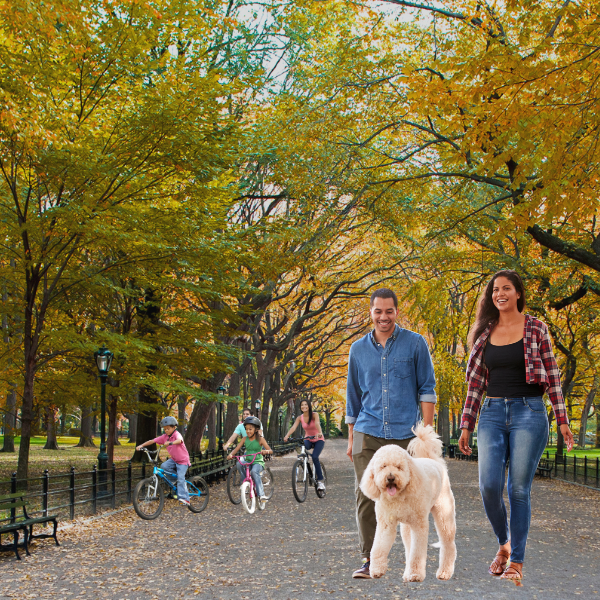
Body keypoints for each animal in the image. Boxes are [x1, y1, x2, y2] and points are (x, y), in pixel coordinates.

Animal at [358, 422, 458, 580]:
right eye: (383, 466)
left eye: (399, 467)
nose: (390, 477)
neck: (398, 497)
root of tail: (434, 461)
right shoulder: (386, 524)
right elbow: (378, 547)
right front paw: (377, 570)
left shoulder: (419, 525)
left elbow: (417, 553)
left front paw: (416, 574)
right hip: (406, 526)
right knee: (409, 546)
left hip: (444, 514)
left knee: (448, 544)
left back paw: (444, 572)